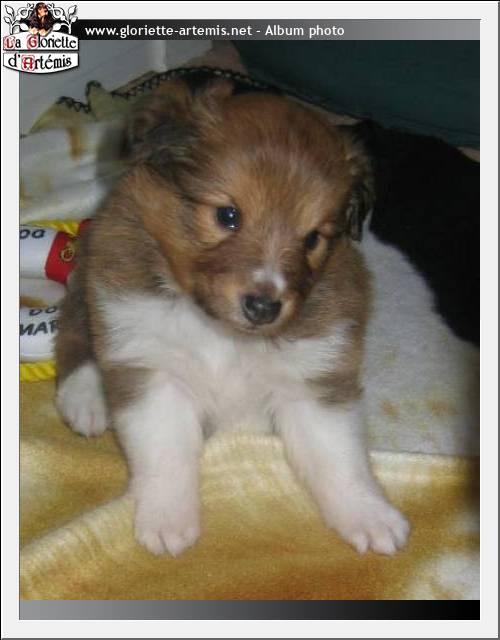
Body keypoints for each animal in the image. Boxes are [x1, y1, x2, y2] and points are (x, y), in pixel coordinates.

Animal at [55, 77, 410, 557]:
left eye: (312, 238)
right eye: (228, 215)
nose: (263, 307)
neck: (221, 330)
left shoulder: (313, 378)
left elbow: (339, 456)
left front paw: (370, 516)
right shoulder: (152, 366)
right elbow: (166, 450)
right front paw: (167, 521)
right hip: (93, 275)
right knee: (75, 329)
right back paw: (86, 398)